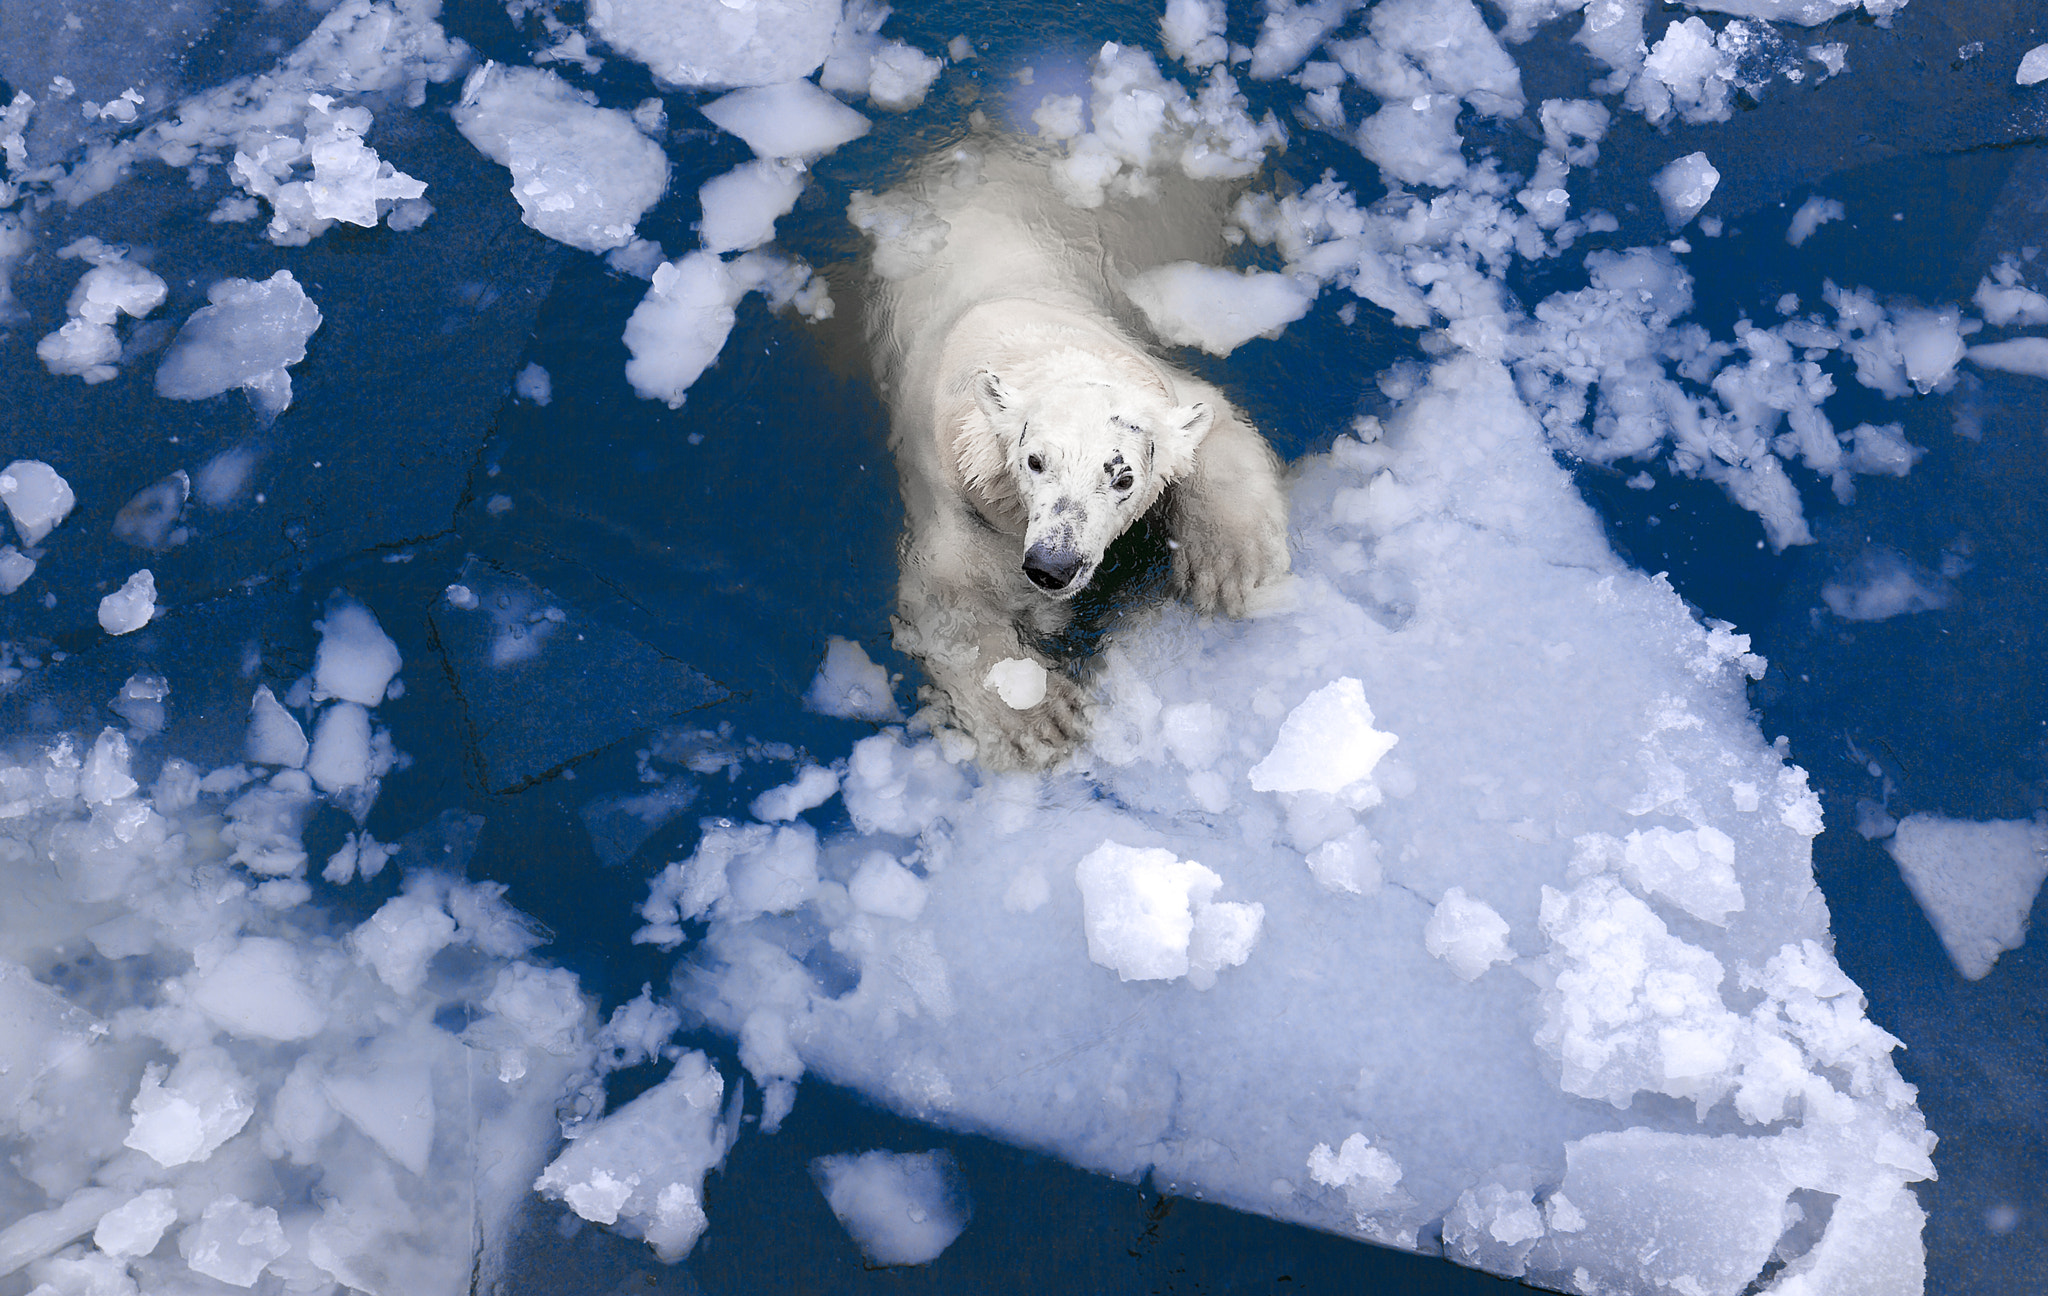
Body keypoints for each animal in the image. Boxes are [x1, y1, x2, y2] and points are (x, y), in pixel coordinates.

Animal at [860, 136, 1277, 769]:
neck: (1024, 337)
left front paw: (1231, 567)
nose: (1051, 566)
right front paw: (1041, 717)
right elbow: (947, 599)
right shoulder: (956, 493)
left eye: (1123, 476)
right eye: (1034, 462)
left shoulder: (1156, 380)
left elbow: (1212, 427)